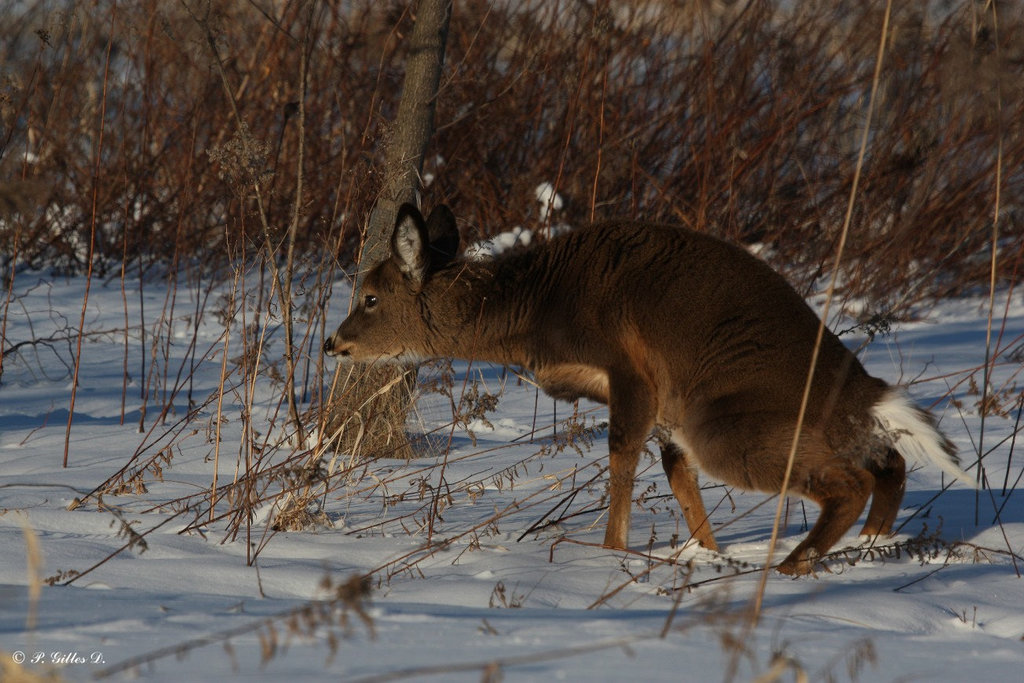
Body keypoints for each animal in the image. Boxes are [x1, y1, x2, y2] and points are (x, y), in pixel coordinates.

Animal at [325, 204, 966, 577]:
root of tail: (861, 390)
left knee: (852, 480)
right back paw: (872, 547)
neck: (536, 313)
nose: (334, 343)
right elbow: (679, 482)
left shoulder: (629, 367)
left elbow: (622, 459)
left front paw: (613, 555)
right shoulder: (666, 411)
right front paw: (706, 555)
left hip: (727, 427)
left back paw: (791, 567)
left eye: (371, 297)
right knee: (890, 462)